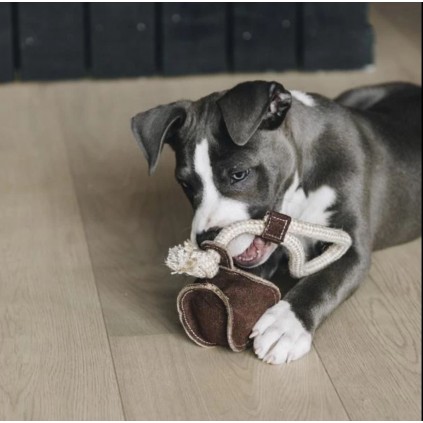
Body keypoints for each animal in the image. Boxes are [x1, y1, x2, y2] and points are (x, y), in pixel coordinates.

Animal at [131, 82, 422, 364]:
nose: (205, 239)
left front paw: (286, 325)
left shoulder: (351, 247)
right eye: (185, 184)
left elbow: (322, 282)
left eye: (239, 174)